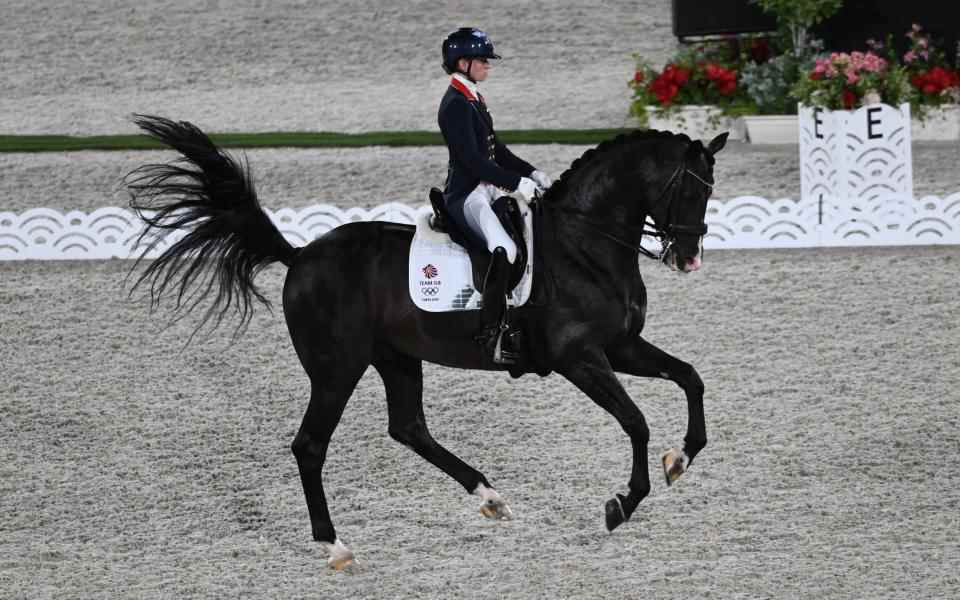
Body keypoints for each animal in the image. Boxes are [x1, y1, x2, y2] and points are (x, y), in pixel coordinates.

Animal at [127, 115, 728, 568]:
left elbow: (691, 378)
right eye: (686, 188)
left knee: (409, 428)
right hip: (336, 369)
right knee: (311, 446)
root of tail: (300, 257)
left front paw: (681, 457)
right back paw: (335, 546)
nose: (688, 258)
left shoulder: (620, 347)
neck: (585, 244)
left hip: (396, 358)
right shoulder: (580, 358)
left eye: (710, 190)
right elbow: (636, 421)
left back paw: (491, 499)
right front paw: (623, 503)